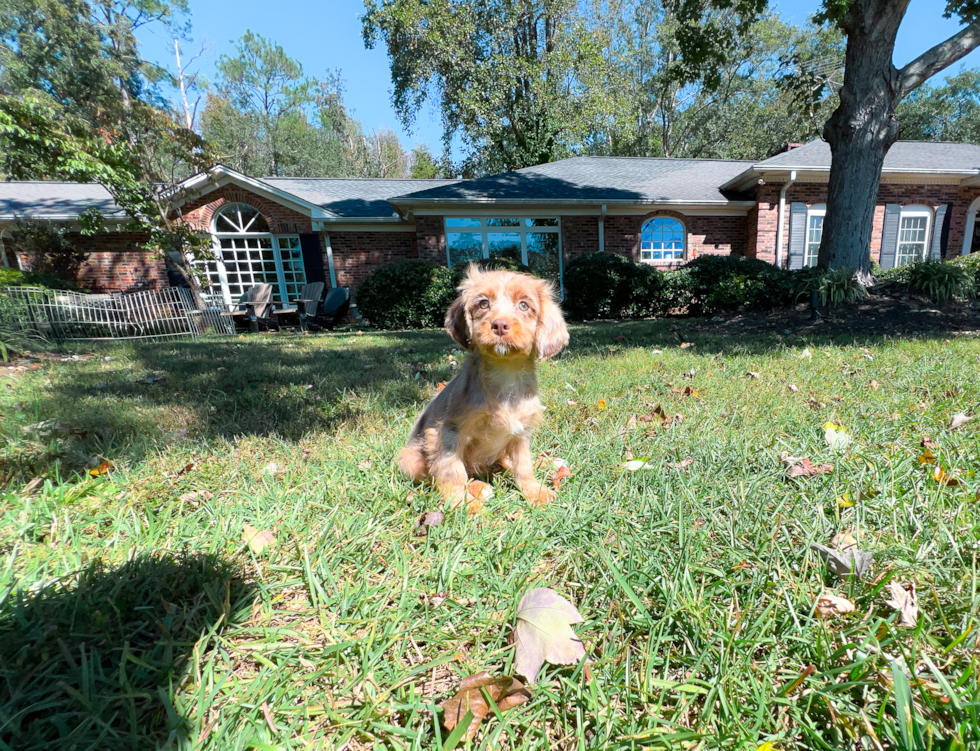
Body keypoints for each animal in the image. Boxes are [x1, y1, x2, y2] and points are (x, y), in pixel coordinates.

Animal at [396, 264, 568, 512]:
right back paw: (479, 488)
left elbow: (523, 466)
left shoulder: (521, 432)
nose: (499, 325)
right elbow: (452, 471)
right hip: (410, 459)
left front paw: (535, 492)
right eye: (483, 303)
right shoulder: (448, 432)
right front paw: (463, 503)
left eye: (524, 305)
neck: (505, 372)